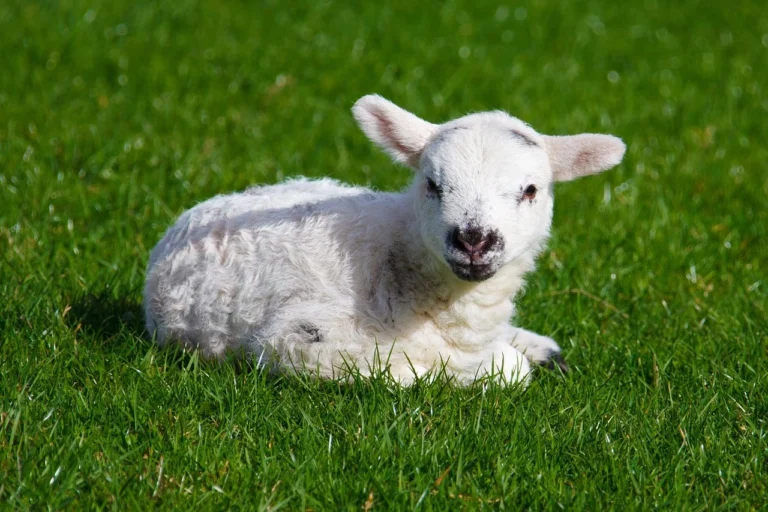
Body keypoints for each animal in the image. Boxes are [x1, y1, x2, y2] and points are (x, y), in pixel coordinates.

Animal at [143, 95, 626, 386]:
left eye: (530, 190)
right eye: (432, 184)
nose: (473, 240)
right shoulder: (296, 339)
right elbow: (416, 372)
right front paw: (488, 367)